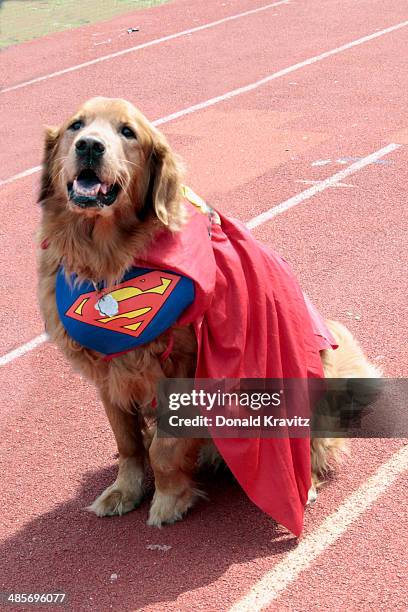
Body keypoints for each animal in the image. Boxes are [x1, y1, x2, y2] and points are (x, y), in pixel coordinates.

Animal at [37, 95, 380, 524]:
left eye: (127, 132)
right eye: (76, 126)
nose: (89, 146)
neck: (110, 261)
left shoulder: (184, 370)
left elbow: (163, 449)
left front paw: (168, 499)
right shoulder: (108, 372)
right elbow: (128, 441)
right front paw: (124, 490)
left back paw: (304, 485)